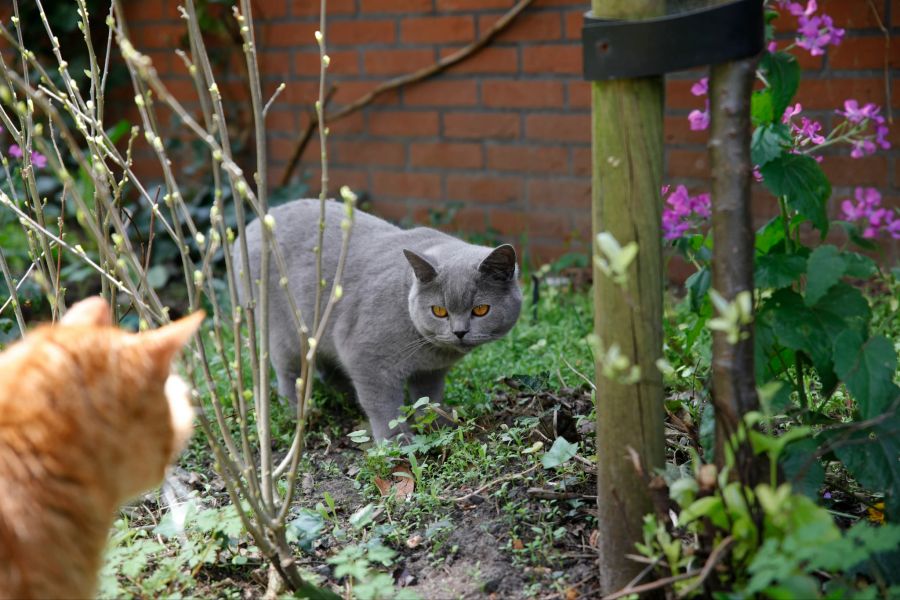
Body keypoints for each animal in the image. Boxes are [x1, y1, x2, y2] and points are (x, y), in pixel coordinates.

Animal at [236, 199, 524, 438]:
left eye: (480, 310)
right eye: (440, 311)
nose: (460, 332)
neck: (429, 351)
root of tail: (255, 222)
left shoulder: (430, 373)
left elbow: (429, 399)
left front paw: (439, 426)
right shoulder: (367, 359)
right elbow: (383, 407)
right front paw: (399, 442)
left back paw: (345, 394)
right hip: (284, 333)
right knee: (287, 373)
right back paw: (296, 411)